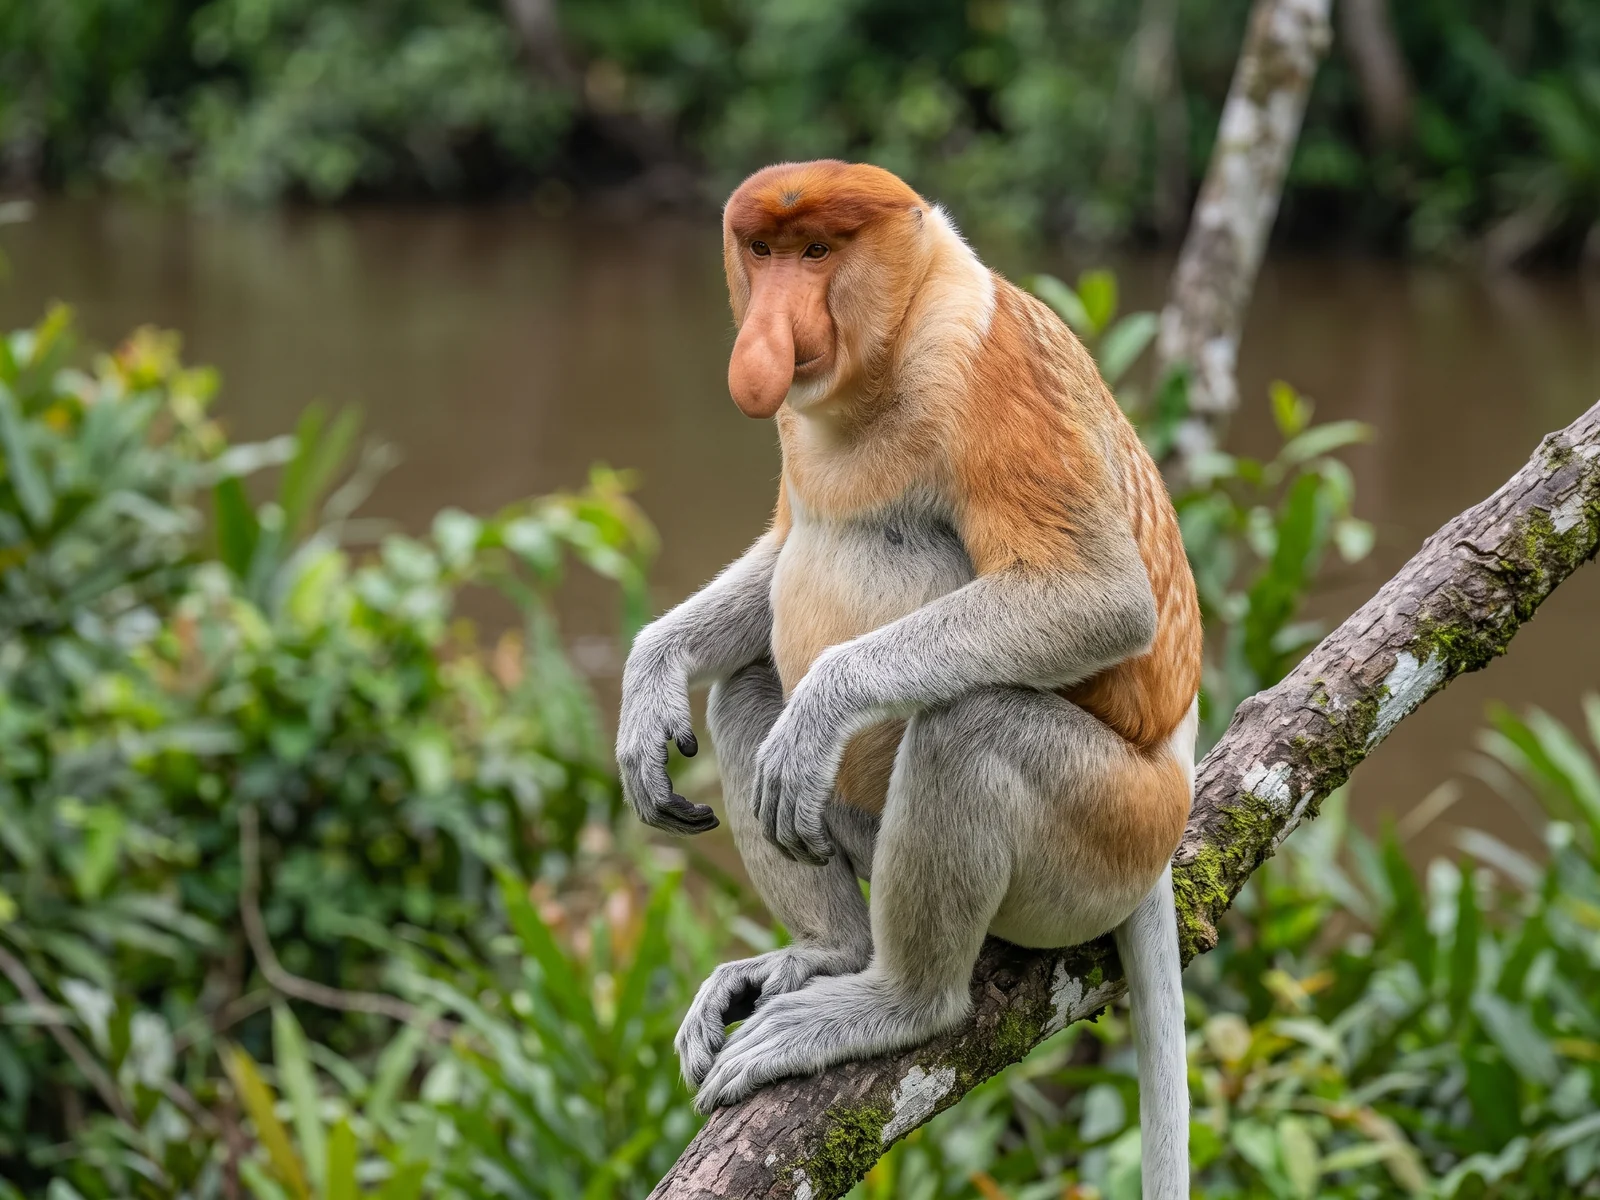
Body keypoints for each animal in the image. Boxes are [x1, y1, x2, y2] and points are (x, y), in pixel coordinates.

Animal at [615, 160, 1201, 1199]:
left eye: (818, 252)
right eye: (761, 252)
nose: (768, 334)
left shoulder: (990, 370)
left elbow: (1101, 596)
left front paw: (823, 706)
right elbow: (783, 550)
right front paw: (649, 684)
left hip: (1111, 836)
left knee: (971, 732)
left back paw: (896, 1000)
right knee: (741, 689)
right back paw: (824, 956)